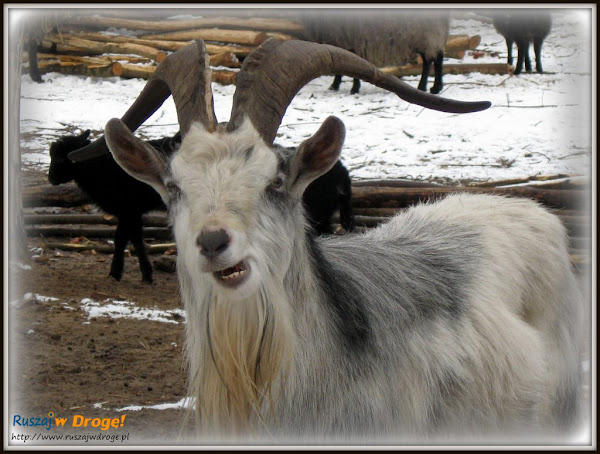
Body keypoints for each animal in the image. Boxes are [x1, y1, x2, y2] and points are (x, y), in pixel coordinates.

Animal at [47, 129, 180, 284]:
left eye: (62, 159)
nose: (51, 178)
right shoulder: (131, 212)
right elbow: (134, 238)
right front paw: (143, 274)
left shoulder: (128, 210)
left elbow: (121, 239)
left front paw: (117, 273)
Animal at [302, 9, 448, 94]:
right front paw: (337, 85)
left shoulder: (348, 39)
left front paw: (352, 88)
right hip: (431, 37)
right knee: (438, 58)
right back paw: (436, 87)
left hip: (427, 36)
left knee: (429, 60)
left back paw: (423, 87)